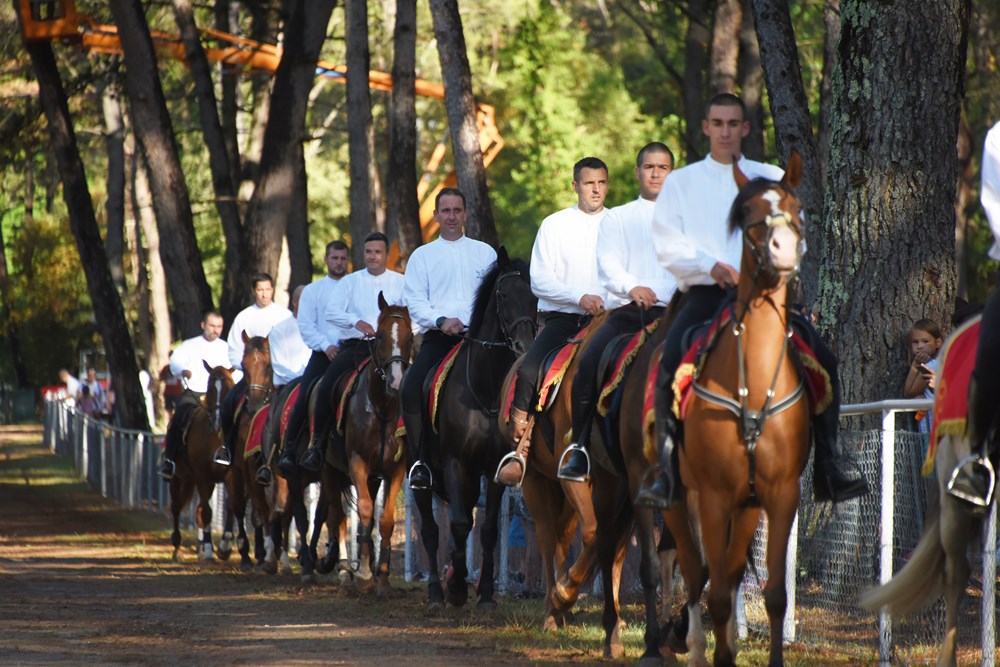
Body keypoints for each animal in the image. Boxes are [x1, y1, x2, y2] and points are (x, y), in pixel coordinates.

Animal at [170, 362, 238, 560]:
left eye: (230, 387)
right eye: (210, 387)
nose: (218, 420)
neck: (214, 437)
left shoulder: (229, 474)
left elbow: (230, 506)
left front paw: (225, 546)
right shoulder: (202, 475)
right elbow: (207, 512)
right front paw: (208, 549)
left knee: (198, 509)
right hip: (178, 478)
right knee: (176, 508)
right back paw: (177, 548)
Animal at [414, 248, 540, 612]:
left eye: (535, 297)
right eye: (503, 294)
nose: (524, 346)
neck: (485, 389)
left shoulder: (494, 468)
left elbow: (486, 530)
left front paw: (484, 594)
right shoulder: (456, 463)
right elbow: (458, 524)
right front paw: (456, 587)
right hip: (424, 477)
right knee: (430, 530)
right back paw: (436, 592)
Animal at [494, 310, 616, 628]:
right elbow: (593, 534)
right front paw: (562, 598)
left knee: (561, 533)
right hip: (535, 479)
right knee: (548, 534)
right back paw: (553, 609)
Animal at [656, 153, 812, 667]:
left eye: (797, 208)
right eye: (747, 215)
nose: (783, 250)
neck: (752, 381)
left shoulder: (778, 495)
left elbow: (774, 593)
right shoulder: (712, 494)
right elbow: (717, 589)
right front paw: (712, 649)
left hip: (743, 506)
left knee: (720, 569)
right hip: (678, 499)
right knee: (695, 570)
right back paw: (692, 644)